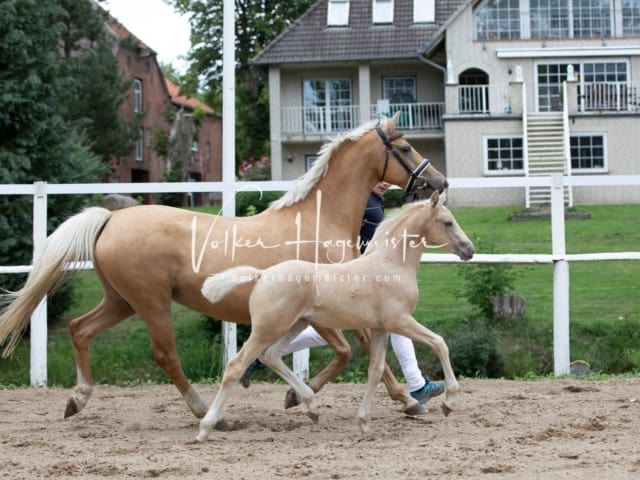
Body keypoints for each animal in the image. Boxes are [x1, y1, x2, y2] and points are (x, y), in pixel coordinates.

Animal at [200, 190, 476, 438]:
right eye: (448, 222)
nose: (469, 250)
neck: (391, 264)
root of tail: (263, 274)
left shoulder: (380, 328)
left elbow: (375, 370)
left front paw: (363, 423)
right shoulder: (399, 321)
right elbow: (439, 343)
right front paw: (448, 403)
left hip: (295, 325)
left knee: (272, 355)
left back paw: (311, 407)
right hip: (269, 328)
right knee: (236, 365)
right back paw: (206, 427)